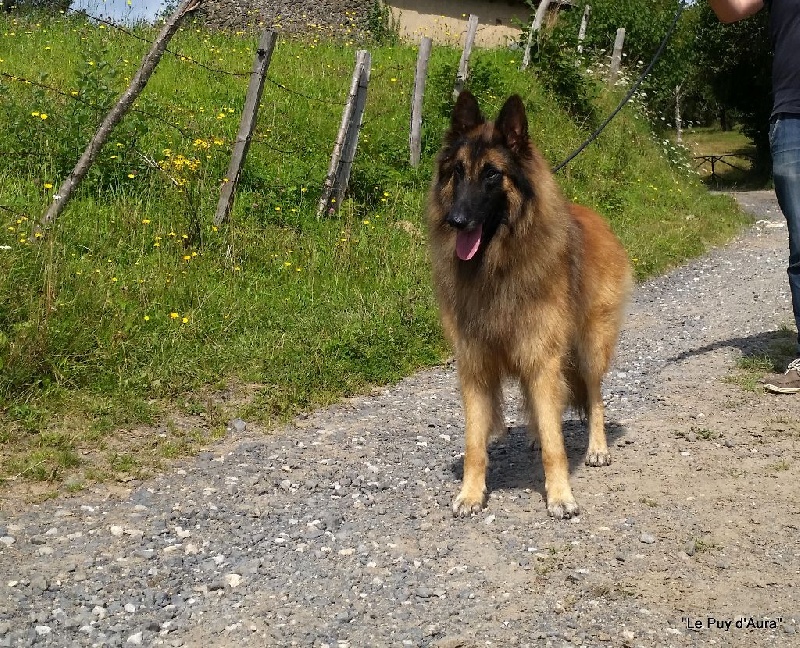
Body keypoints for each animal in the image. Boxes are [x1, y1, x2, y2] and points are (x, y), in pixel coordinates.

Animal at [424, 91, 632, 520]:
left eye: (492, 174)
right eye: (458, 172)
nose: (456, 220)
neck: (498, 263)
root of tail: (598, 219)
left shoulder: (542, 356)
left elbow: (556, 445)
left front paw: (560, 495)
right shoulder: (476, 365)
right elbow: (475, 443)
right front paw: (471, 494)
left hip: (588, 347)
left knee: (594, 397)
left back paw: (597, 447)